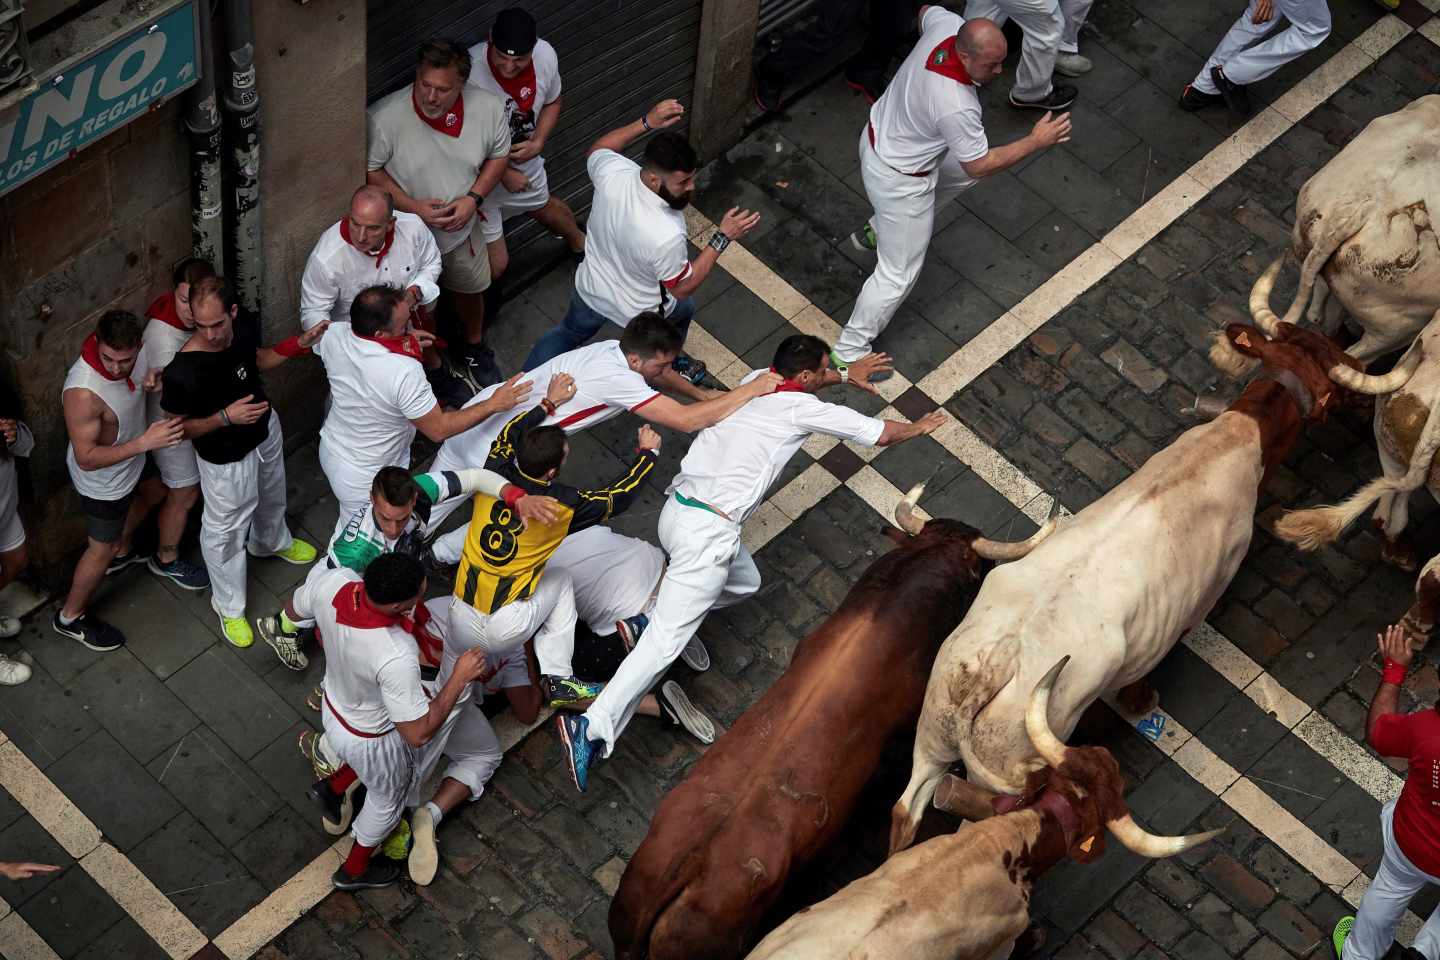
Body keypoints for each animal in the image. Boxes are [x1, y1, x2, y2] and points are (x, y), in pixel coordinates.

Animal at [887, 322, 1359, 857]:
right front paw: (1141, 700)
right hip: (1004, 764)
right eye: (1331, 385)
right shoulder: (1207, 591)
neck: (1234, 439)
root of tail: (995, 665)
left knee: (906, 811)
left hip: (932, 727)